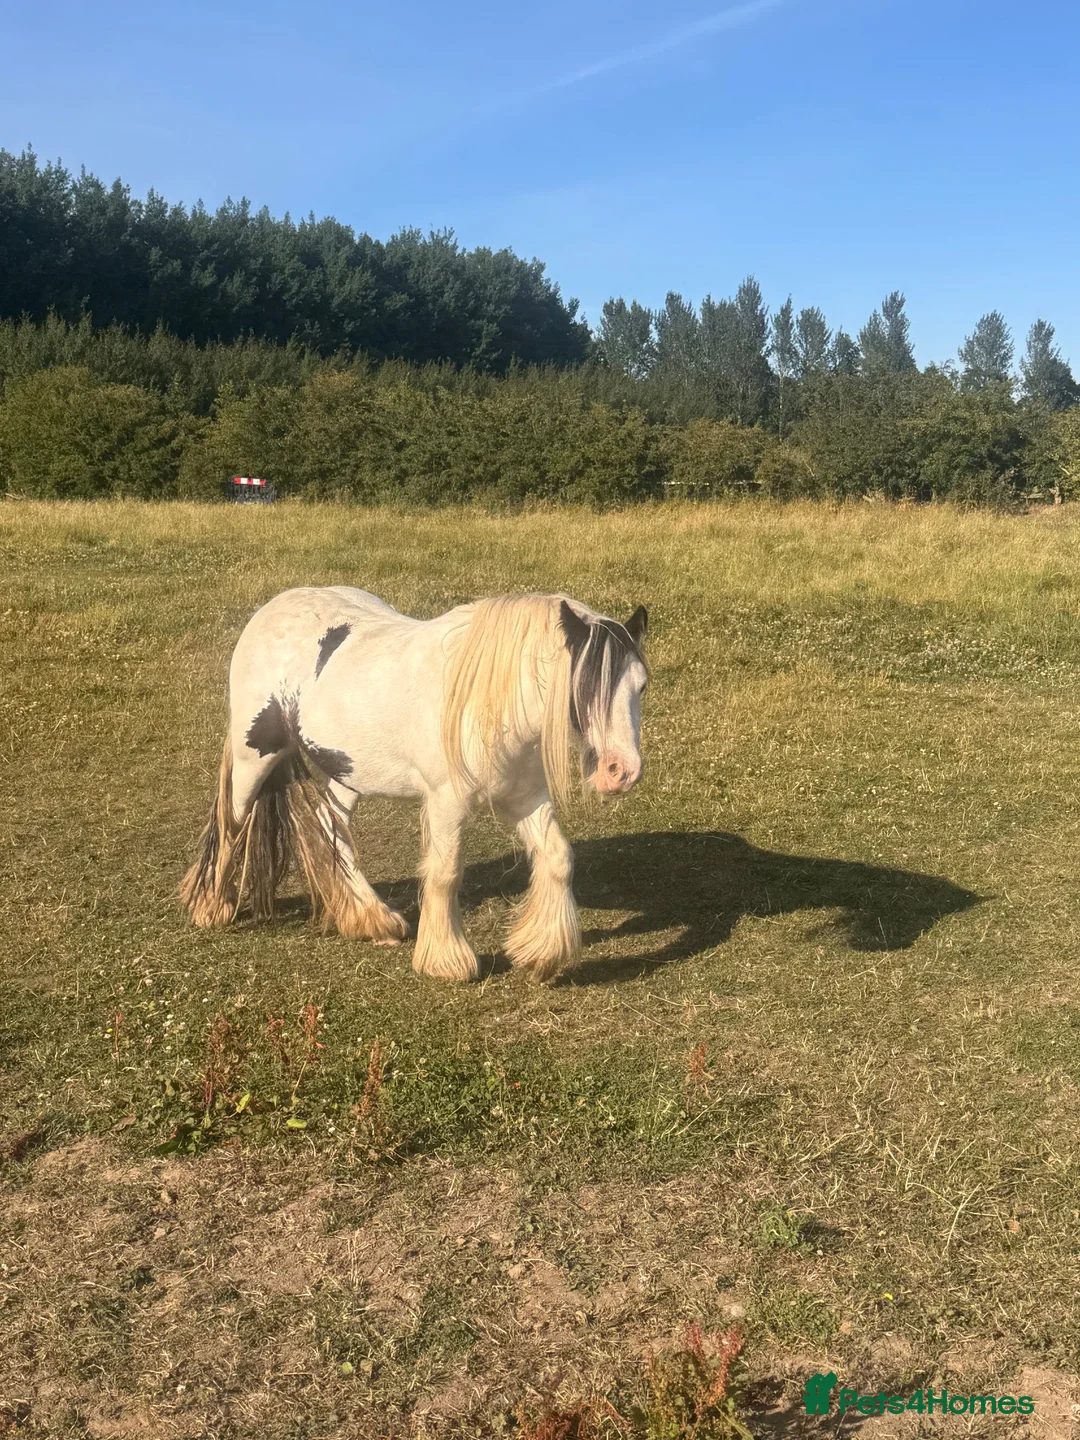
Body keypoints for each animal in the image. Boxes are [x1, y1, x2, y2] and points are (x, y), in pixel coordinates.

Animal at [179, 588, 648, 982]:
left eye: (641, 686)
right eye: (584, 685)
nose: (621, 771)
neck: (488, 702)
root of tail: (271, 610)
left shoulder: (526, 799)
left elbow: (558, 859)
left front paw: (542, 954)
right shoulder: (446, 803)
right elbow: (445, 872)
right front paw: (447, 962)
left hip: (346, 771)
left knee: (332, 827)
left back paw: (370, 918)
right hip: (253, 759)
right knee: (233, 823)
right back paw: (213, 907)